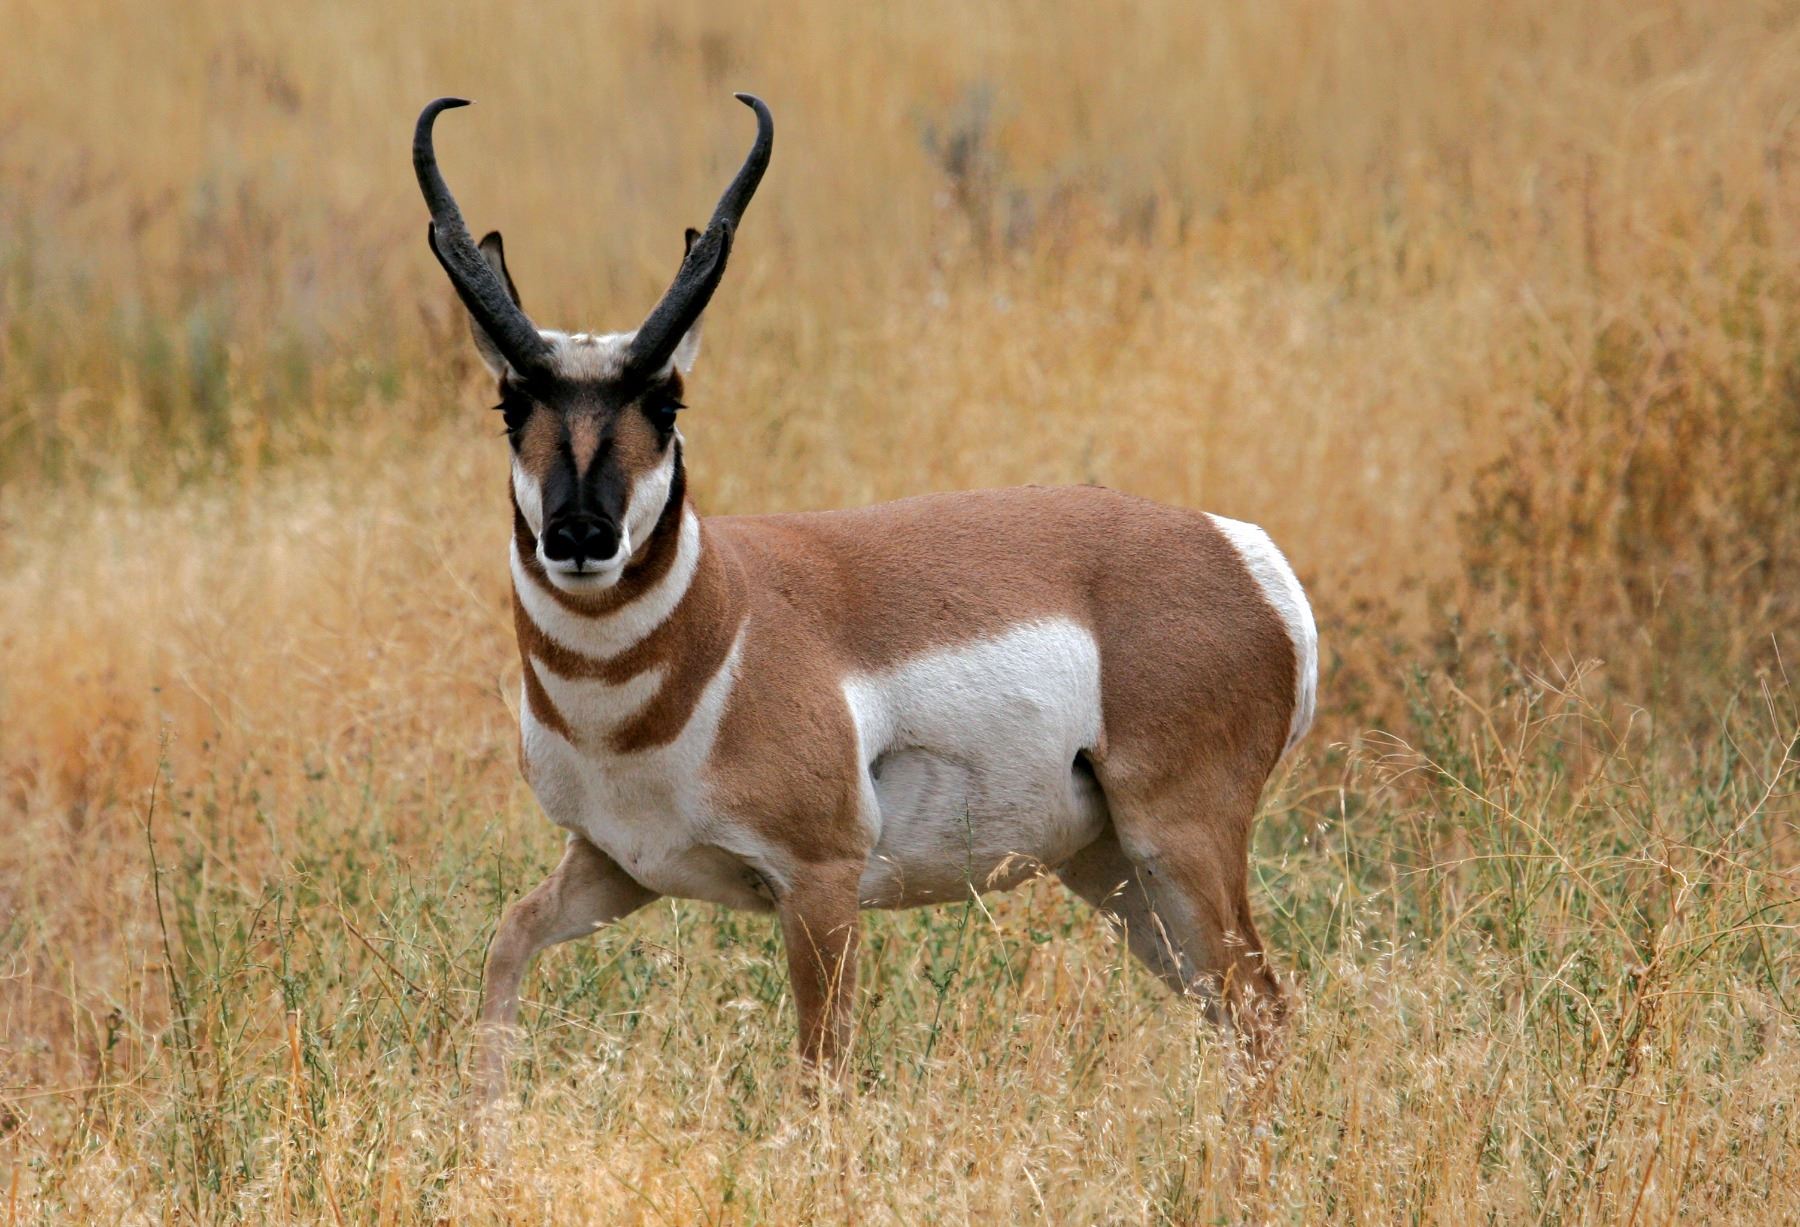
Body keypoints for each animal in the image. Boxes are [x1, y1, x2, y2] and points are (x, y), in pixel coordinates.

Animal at [413, 93, 1317, 1104]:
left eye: (667, 402)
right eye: (511, 405)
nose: (579, 536)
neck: (719, 627)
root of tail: (1238, 548)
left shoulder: (820, 885)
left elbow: (822, 1073)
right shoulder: (617, 865)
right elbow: (509, 938)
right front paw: (482, 1120)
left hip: (1179, 844)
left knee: (1263, 1009)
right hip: (1116, 869)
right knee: (1237, 1014)